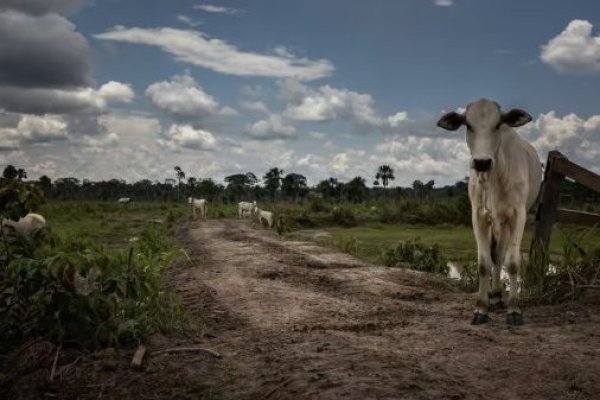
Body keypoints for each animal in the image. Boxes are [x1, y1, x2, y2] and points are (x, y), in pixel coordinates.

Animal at [438, 99, 540, 324]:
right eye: (468, 125)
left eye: (498, 124)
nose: (482, 162)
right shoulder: (478, 216)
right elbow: (484, 263)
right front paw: (481, 308)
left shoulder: (518, 215)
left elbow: (512, 263)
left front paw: (514, 309)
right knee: (495, 257)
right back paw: (494, 296)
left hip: (505, 223)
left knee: (501, 256)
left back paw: (499, 296)